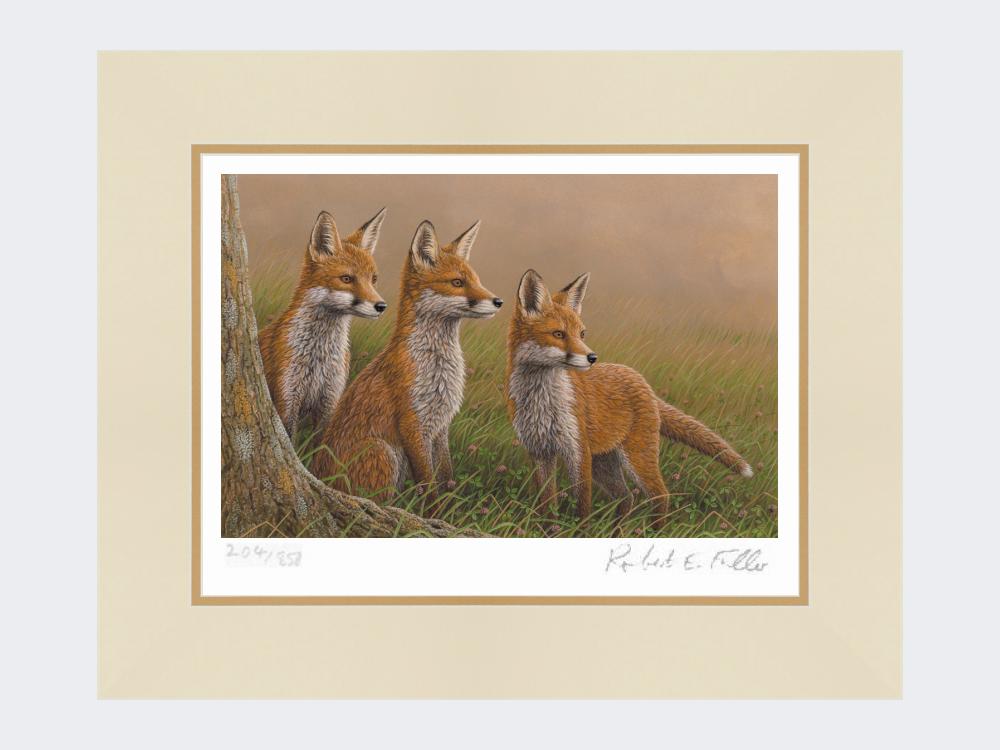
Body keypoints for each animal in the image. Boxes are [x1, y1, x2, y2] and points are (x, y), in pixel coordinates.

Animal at [258, 208, 388, 441]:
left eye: (373, 279)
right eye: (346, 279)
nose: (381, 306)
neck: (319, 357)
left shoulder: (330, 401)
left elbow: (321, 445)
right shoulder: (287, 398)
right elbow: (290, 441)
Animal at [313, 219, 502, 506]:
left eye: (477, 281)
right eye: (457, 282)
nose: (499, 301)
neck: (437, 368)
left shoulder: (440, 426)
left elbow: (446, 478)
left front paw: (449, 508)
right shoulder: (412, 423)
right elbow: (428, 485)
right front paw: (433, 513)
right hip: (382, 451)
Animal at [504, 269, 753, 528]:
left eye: (582, 334)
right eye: (558, 334)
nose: (592, 357)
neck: (541, 402)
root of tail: (640, 379)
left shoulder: (577, 450)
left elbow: (582, 506)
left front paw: (579, 532)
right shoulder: (540, 451)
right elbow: (547, 505)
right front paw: (548, 530)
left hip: (636, 457)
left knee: (660, 495)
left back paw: (655, 532)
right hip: (604, 462)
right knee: (626, 498)